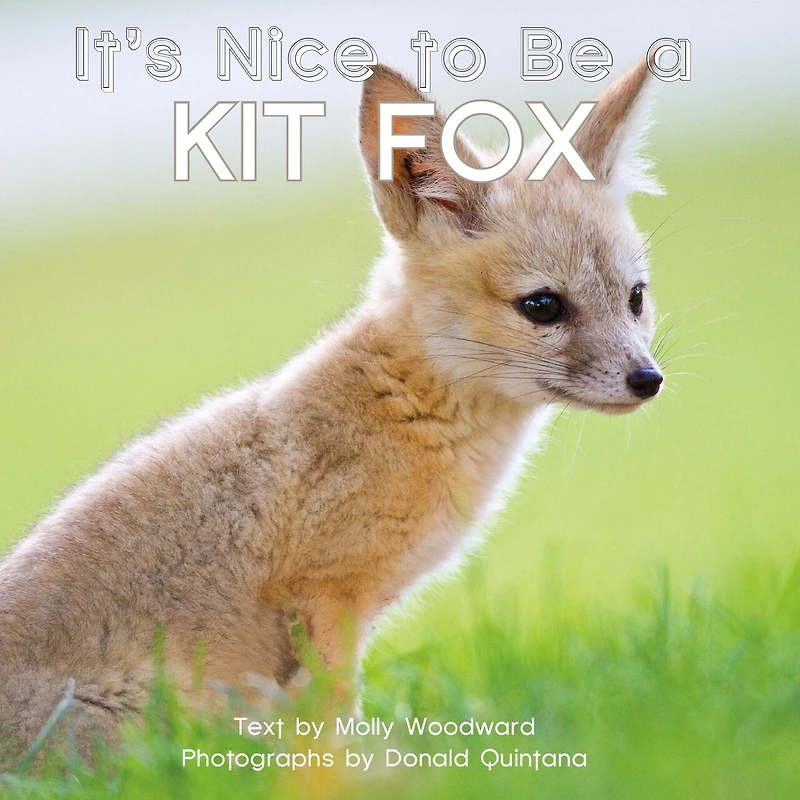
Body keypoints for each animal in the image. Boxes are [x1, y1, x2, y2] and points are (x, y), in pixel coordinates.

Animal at [0, 59, 665, 769]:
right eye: (542, 306)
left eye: (635, 298)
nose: (648, 380)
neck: (406, 406)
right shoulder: (328, 596)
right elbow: (336, 719)